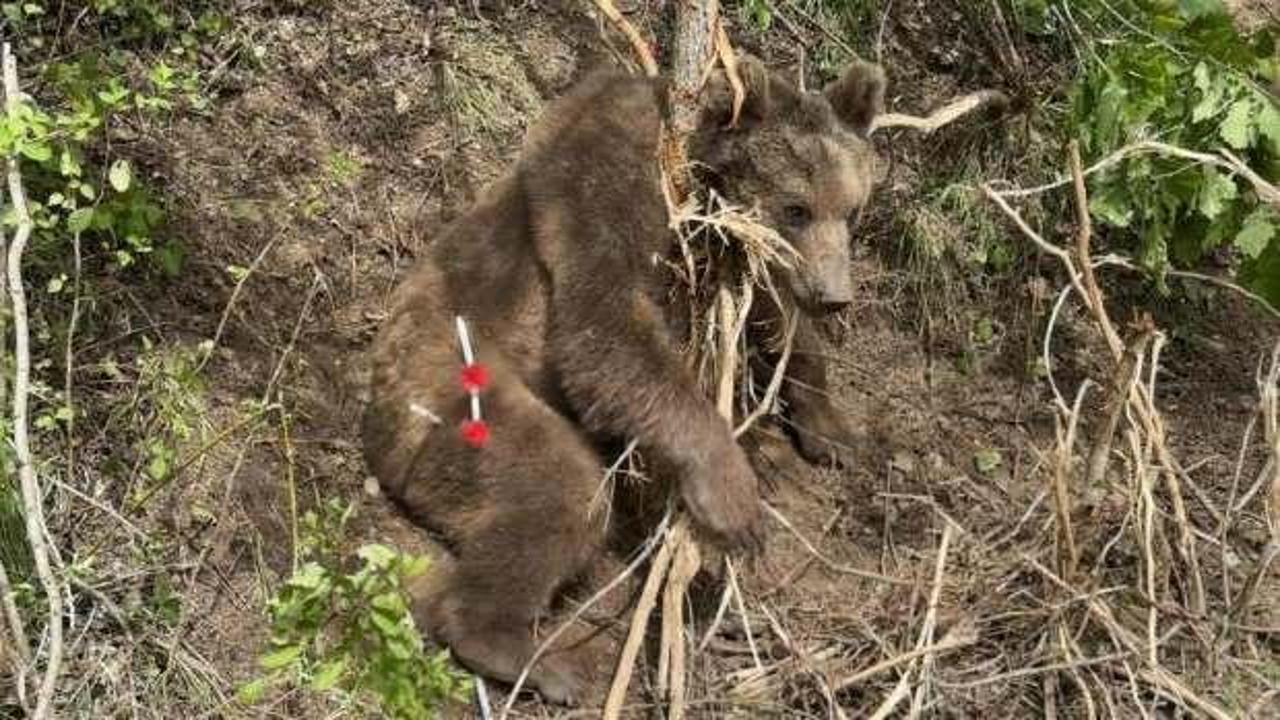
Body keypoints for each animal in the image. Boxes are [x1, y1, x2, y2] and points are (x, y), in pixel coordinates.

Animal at [358, 54, 880, 702]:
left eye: (852, 209)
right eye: (796, 208)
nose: (834, 296)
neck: (695, 175)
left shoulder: (730, 253)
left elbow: (776, 318)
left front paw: (831, 430)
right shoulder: (607, 177)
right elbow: (604, 325)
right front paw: (734, 497)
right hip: (449, 389)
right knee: (560, 487)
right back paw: (526, 654)